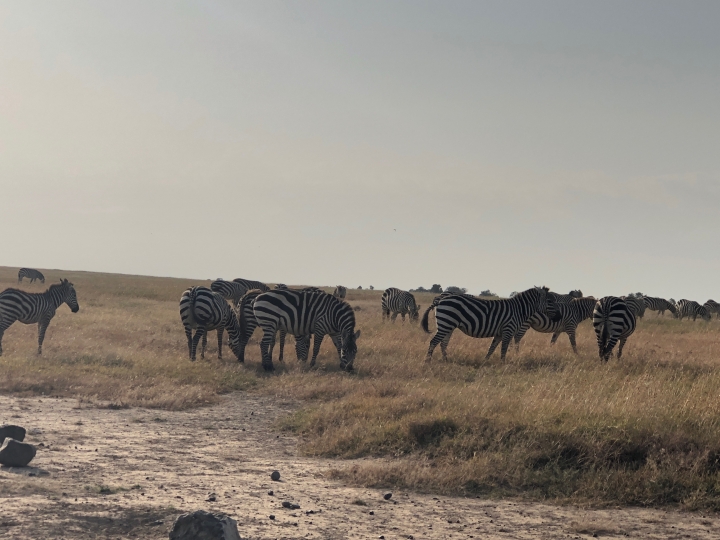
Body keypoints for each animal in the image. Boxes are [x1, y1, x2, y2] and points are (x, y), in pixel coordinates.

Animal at [422, 286, 556, 362]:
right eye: (550, 301)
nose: (558, 316)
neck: (519, 310)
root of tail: (441, 299)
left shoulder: (500, 333)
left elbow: (492, 348)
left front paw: (485, 361)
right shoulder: (508, 330)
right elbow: (504, 349)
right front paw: (503, 364)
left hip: (448, 325)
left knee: (443, 343)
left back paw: (446, 360)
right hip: (446, 323)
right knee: (434, 342)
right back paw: (428, 361)